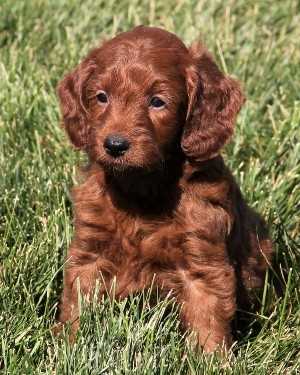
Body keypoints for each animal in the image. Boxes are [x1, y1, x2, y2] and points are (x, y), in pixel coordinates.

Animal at [56, 26, 272, 352]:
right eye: (101, 97)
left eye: (157, 102)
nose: (115, 145)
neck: (142, 187)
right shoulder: (89, 251)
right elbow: (77, 301)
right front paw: (66, 346)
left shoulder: (202, 262)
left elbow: (207, 318)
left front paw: (211, 359)